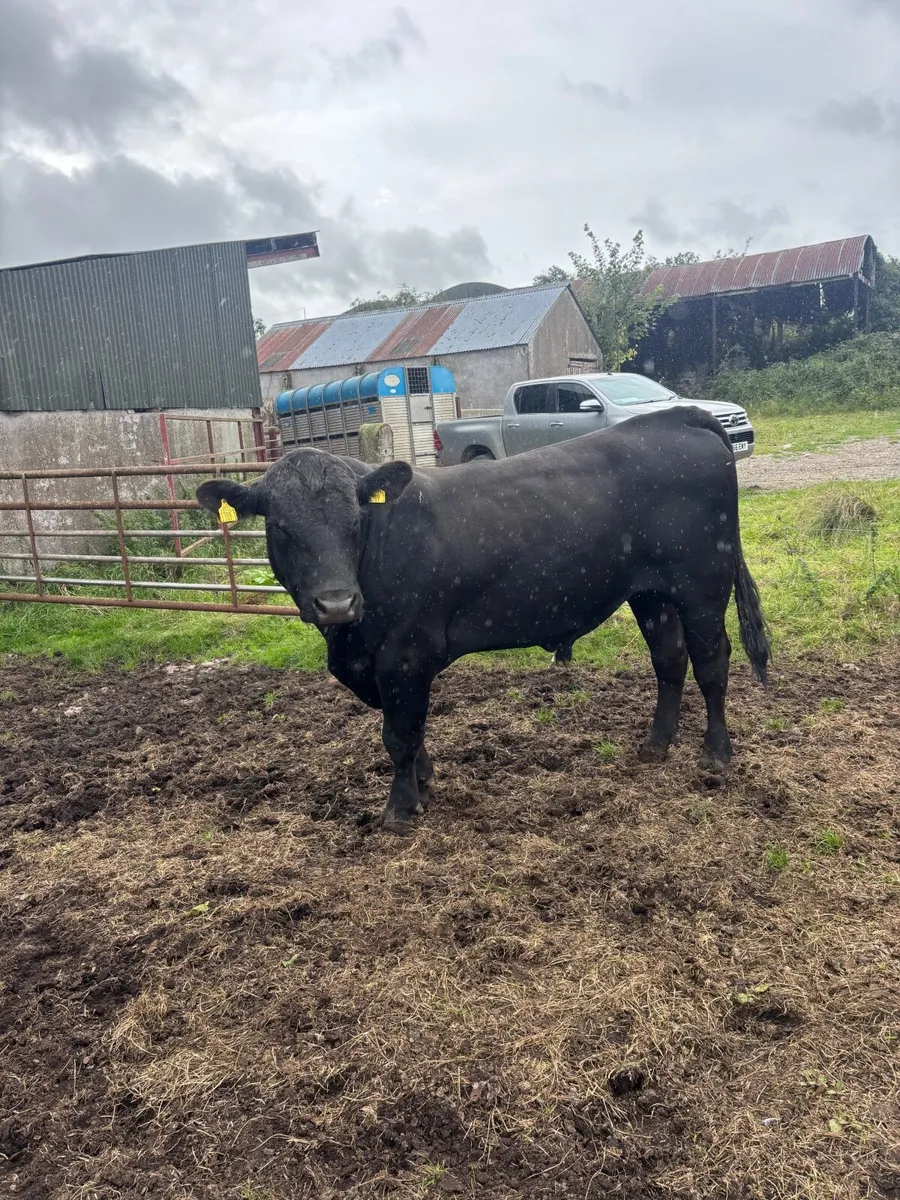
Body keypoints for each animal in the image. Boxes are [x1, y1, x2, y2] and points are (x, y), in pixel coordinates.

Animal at [197, 407, 769, 834]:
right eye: (281, 527)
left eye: (356, 519)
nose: (337, 603)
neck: (347, 641)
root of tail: (676, 417)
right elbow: (410, 730)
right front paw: (424, 782)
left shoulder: (405, 653)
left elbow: (398, 734)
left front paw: (400, 808)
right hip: (652, 593)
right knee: (669, 660)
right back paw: (655, 745)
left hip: (702, 585)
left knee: (712, 663)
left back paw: (716, 755)